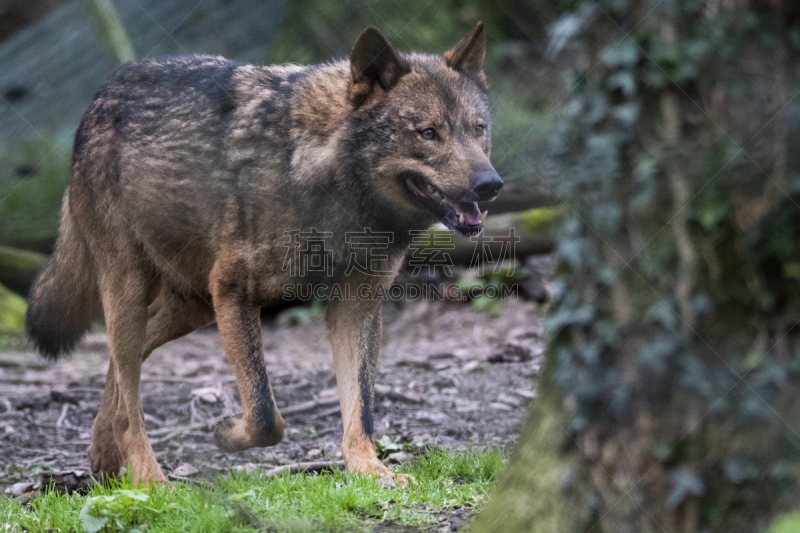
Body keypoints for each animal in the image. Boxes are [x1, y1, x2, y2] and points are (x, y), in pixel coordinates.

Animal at [28, 22, 504, 484]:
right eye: (429, 133)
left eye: (478, 129)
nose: (491, 184)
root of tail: (102, 93)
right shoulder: (234, 291)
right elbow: (263, 414)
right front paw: (226, 433)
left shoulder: (357, 305)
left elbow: (361, 409)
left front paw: (370, 470)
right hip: (135, 291)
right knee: (129, 396)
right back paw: (151, 481)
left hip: (193, 306)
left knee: (118, 366)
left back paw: (104, 457)